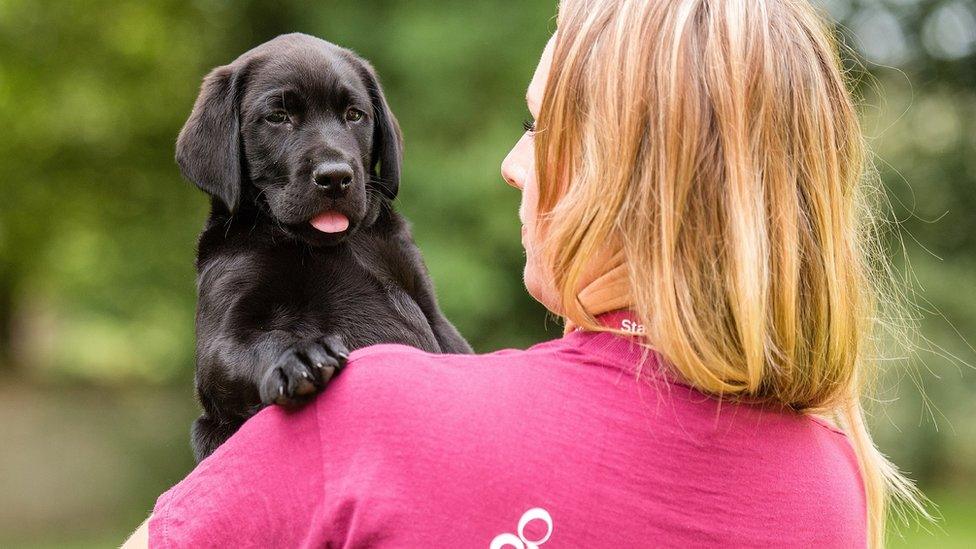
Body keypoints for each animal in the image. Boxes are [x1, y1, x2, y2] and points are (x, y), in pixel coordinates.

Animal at [181, 34, 474, 460]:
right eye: (278, 117)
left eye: (354, 115)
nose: (335, 177)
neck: (326, 245)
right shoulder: (222, 333)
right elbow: (249, 346)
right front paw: (298, 356)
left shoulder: (431, 311)